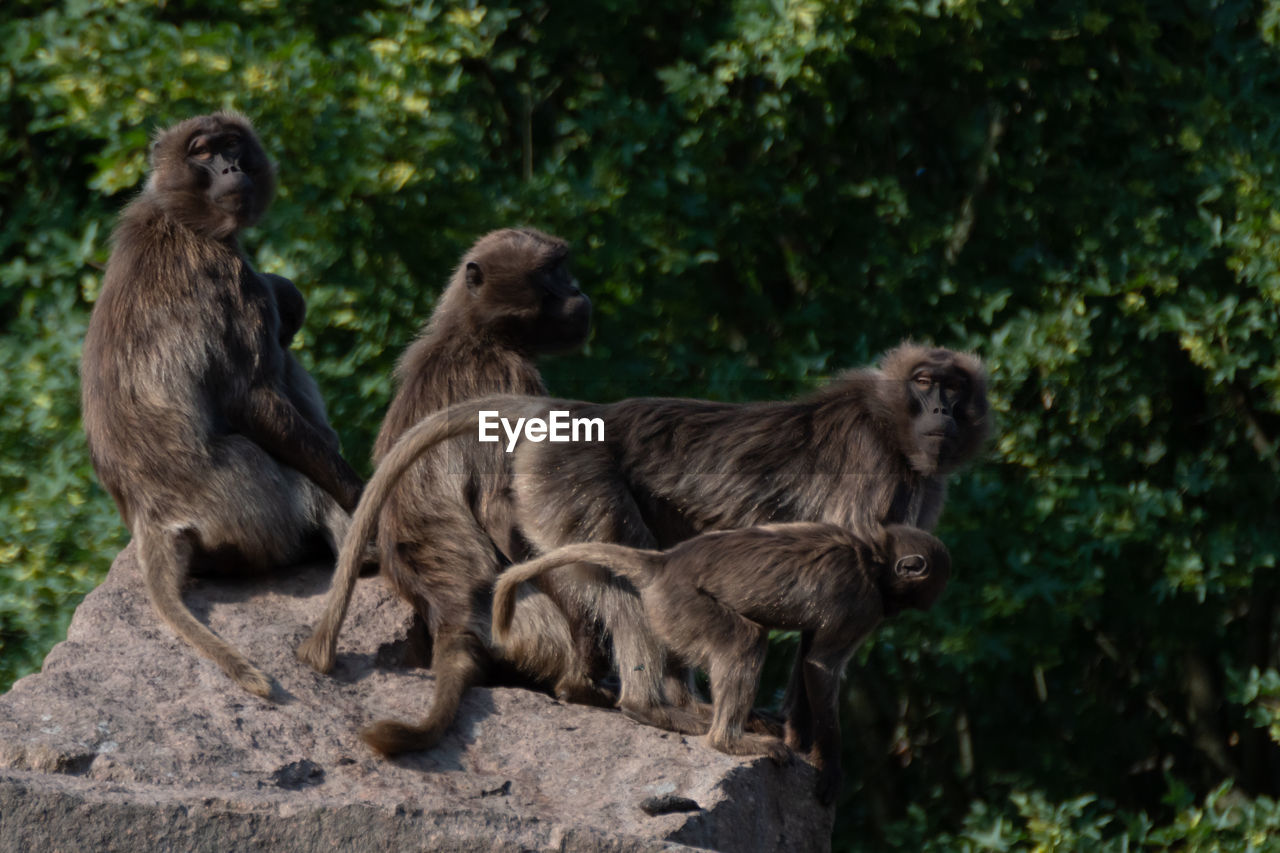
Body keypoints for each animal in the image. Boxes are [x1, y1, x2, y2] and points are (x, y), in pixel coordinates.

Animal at [80, 112, 363, 696]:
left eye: (231, 146)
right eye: (203, 152)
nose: (232, 168)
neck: (178, 215)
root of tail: (152, 515)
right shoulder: (229, 275)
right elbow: (252, 397)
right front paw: (360, 492)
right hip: (254, 503)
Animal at [488, 517, 952, 804]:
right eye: (913, 599)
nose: (897, 612)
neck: (873, 554)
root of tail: (665, 562)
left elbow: (808, 655)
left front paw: (797, 739)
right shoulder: (863, 604)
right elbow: (821, 667)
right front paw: (829, 768)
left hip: (670, 610)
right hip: (682, 602)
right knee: (746, 640)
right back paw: (723, 738)